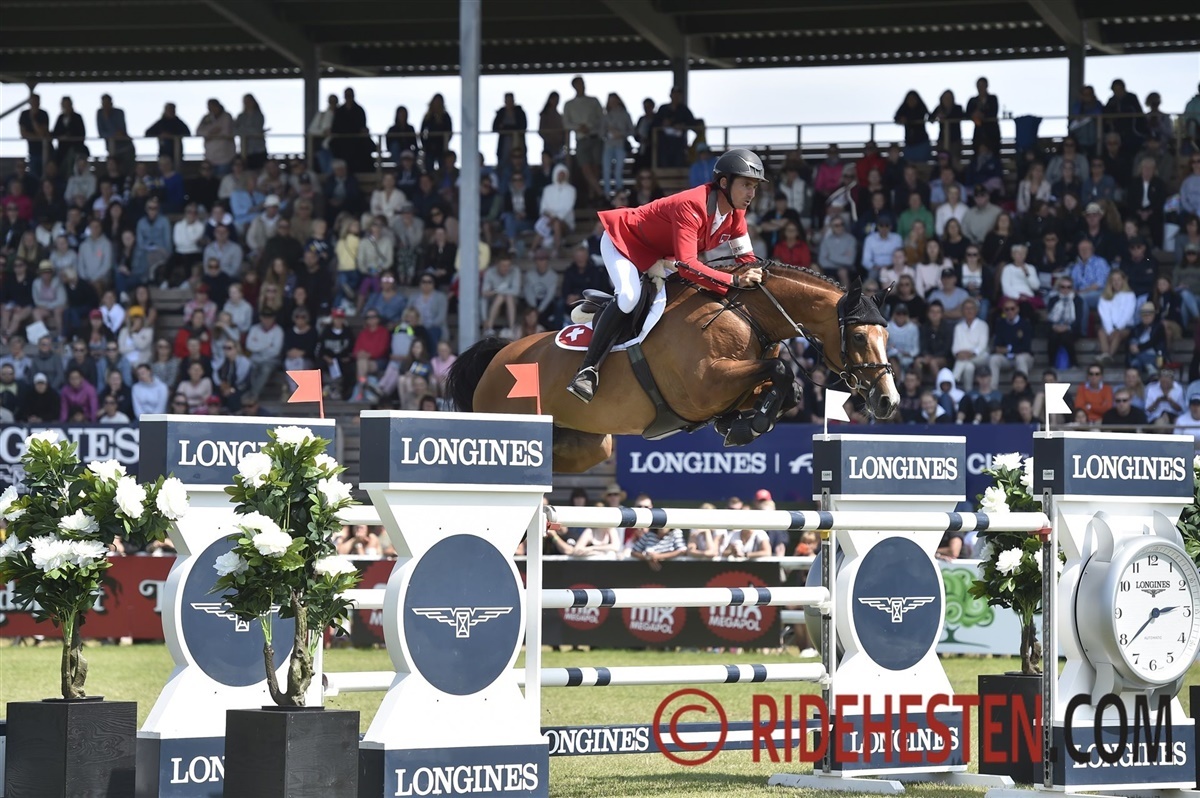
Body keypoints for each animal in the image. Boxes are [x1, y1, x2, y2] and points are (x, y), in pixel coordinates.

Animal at [447, 258, 899, 473]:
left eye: (888, 337)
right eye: (860, 338)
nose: (888, 402)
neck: (747, 314)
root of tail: (497, 357)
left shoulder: (733, 385)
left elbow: (787, 386)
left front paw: (741, 425)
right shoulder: (705, 385)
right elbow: (783, 374)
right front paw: (749, 426)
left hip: (591, 443)